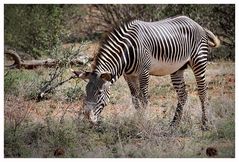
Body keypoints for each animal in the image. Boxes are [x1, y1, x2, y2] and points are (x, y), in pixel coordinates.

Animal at [73, 15, 220, 129]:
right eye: (86, 92)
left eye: (99, 93)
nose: (88, 118)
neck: (127, 52)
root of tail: (197, 24)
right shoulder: (129, 76)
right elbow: (135, 100)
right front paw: (138, 121)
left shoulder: (143, 73)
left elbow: (143, 99)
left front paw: (144, 123)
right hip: (177, 69)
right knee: (183, 95)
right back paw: (174, 125)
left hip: (199, 61)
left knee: (202, 91)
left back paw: (205, 124)